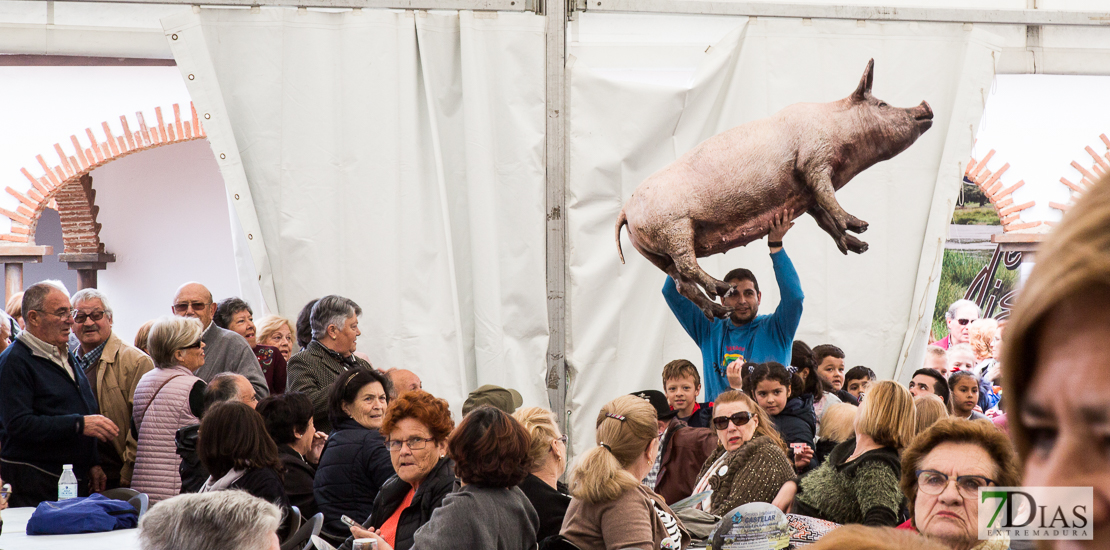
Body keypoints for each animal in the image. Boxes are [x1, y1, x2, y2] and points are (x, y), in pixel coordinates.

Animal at [612, 57, 932, 317]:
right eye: (882, 104)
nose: (926, 106)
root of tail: (625, 210)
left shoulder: (805, 191)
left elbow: (824, 218)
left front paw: (860, 246)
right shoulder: (813, 161)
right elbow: (829, 199)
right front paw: (862, 226)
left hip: (654, 253)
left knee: (681, 283)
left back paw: (720, 312)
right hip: (674, 229)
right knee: (688, 267)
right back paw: (725, 289)